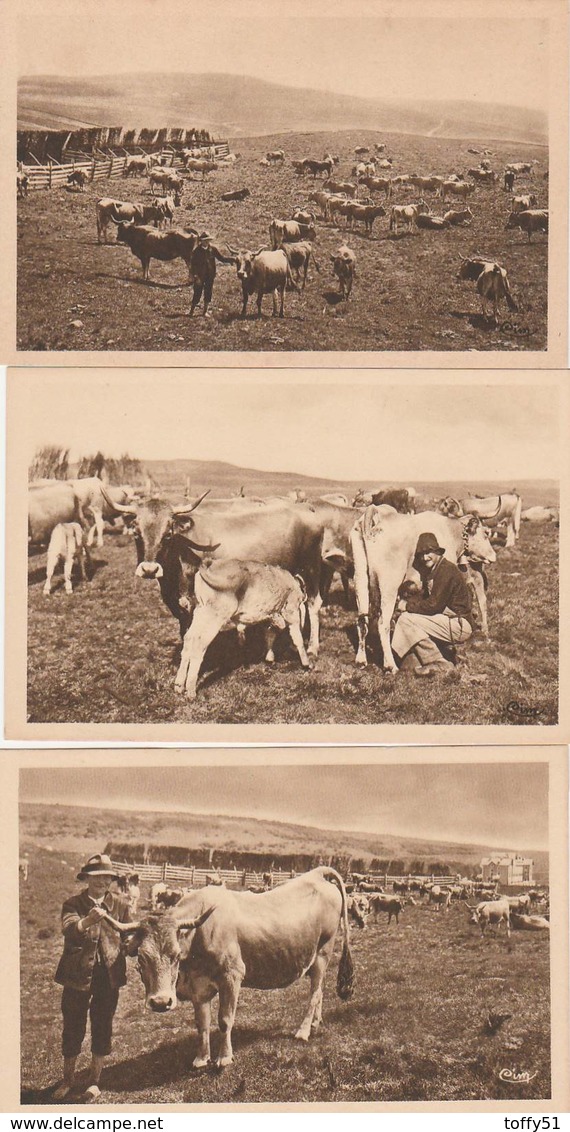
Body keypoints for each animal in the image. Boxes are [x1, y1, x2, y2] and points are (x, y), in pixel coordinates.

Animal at [102, 869, 352, 1064]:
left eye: (175, 956)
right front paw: (201, 1058)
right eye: (142, 959)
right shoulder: (198, 986)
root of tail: (317, 874)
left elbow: (224, 1019)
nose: (161, 1002)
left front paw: (224, 1058)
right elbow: (202, 1023)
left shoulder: (232, 977)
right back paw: (316, 1023)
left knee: (315, 993)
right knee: (320, 991)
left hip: (323, 952)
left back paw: (303, 1031)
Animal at [176, 559, 314, 697]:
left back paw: (179, 685)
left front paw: (270, 658)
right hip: (215, 615)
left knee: (189, 638)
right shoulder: (291, 610)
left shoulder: (272, 614)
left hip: (200, 612)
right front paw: (306, 663)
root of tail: (207, 566)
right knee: (199, 645)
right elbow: (298, 639)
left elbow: (270, 634)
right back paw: (191, 690)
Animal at [348, 511, 495, 670]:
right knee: (382, 623)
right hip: (389, 585)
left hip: (361, 578)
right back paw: (390, 665)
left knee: (362, 620)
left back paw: (361, 660)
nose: (493, 556)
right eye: (485, 533)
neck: (450, 530)